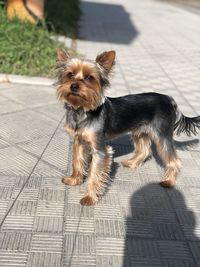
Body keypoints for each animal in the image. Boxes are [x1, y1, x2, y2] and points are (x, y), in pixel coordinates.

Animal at [54, 49, 200, 206]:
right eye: (70, 74)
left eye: (89, 77)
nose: (74, 86)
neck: (82, 110)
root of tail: (169, 99)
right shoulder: (79, 141)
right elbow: (77, 161)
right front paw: (74, 179)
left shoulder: (100, 149)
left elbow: (95, 173)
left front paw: (89, 197)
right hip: (140, 131)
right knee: (145, 150)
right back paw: (131, 163)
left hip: (162, 134)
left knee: (173, 159)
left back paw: (168, 181)